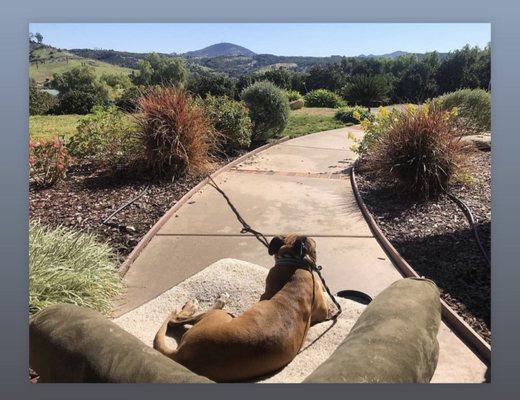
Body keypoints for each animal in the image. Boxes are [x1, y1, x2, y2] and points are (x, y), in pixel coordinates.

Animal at [153, 234, 334, 382]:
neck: (292, 263)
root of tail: (181, 353)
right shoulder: (321, 308)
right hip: (221, 315)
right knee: (177, 319)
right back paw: (205, 302)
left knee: (176, 321)